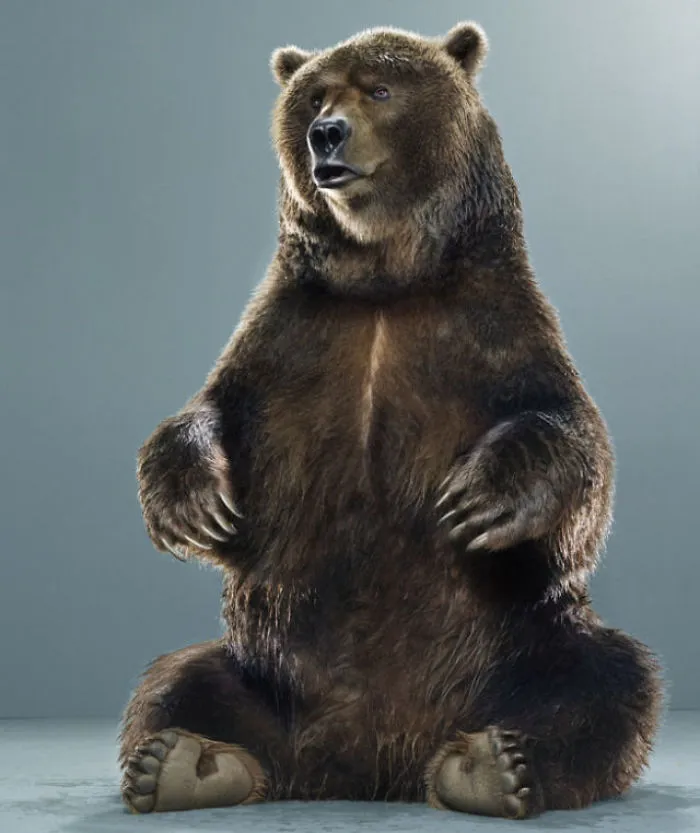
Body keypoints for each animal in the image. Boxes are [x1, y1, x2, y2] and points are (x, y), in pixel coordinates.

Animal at [119, 21, 664, 820]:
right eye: (316, 94)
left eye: (379, 88)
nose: (326, 134)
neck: (386, 280)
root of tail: (369, 765)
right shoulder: (290, 334)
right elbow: (213, 411)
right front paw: (193, 506)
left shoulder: (493, 325)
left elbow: (572, 445)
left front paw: (481, 496)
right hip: (265, 671)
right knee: (175, 679)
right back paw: (185, 763)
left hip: (522, 647)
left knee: (611, 676)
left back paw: (495, 766)